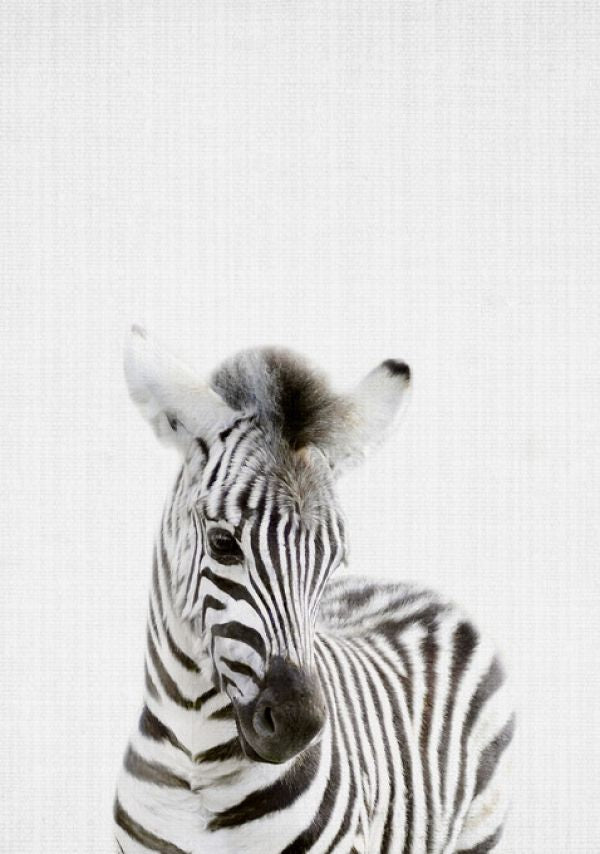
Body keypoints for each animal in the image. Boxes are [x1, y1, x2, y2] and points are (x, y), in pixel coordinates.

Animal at [114, 325, 515, 854]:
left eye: (332, 562)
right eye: (222, 543)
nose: (297, 726)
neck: (196, 764)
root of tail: (416, 586)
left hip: (480, 826)